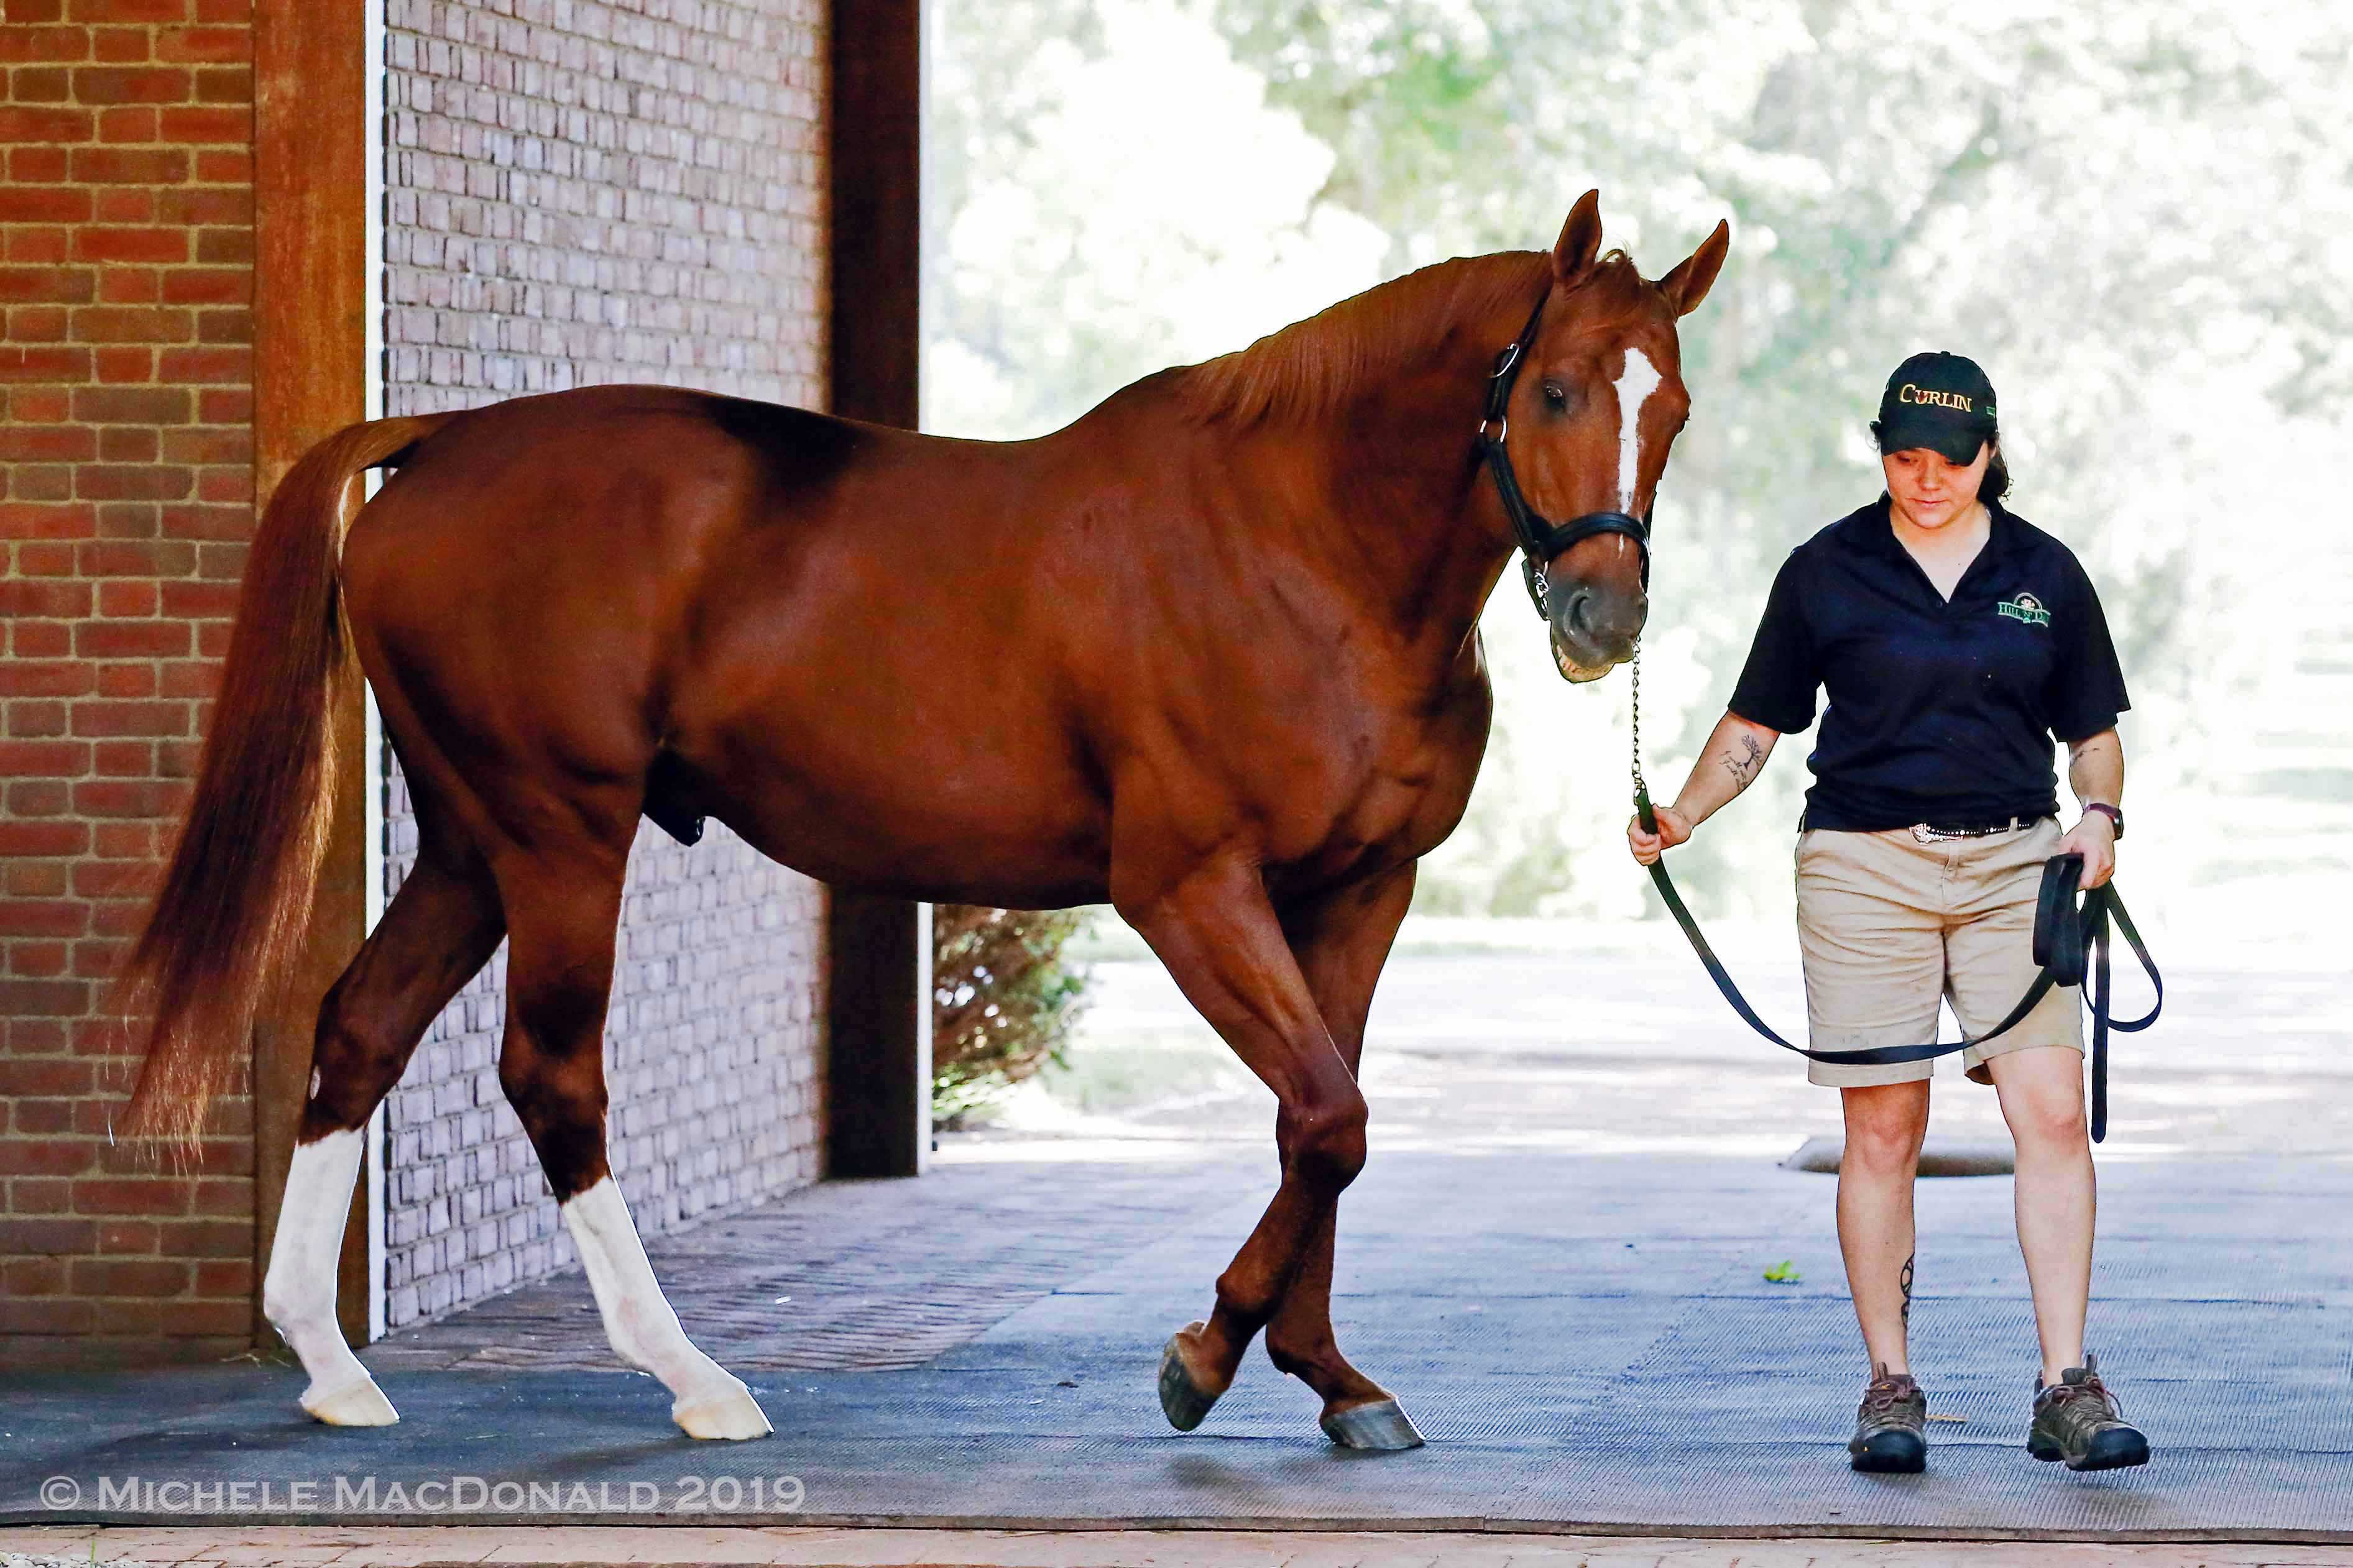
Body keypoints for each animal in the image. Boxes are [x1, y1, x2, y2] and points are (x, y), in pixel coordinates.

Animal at [114, 193, 1731, 1448]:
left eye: (1671, 407)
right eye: (1555, 390)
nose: (1601, 619)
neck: (1295, 549)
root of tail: (441, 440)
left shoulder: (1358, 888)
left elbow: (1318, 1124)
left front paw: (1328, 1375)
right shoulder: (1188, 887)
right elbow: (1326, 1118)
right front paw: (1201, 1358)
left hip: (469, 842)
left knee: (361, 1027)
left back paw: (328, 1366)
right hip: (559, 833)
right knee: (550, 1076)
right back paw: (692, 1379)